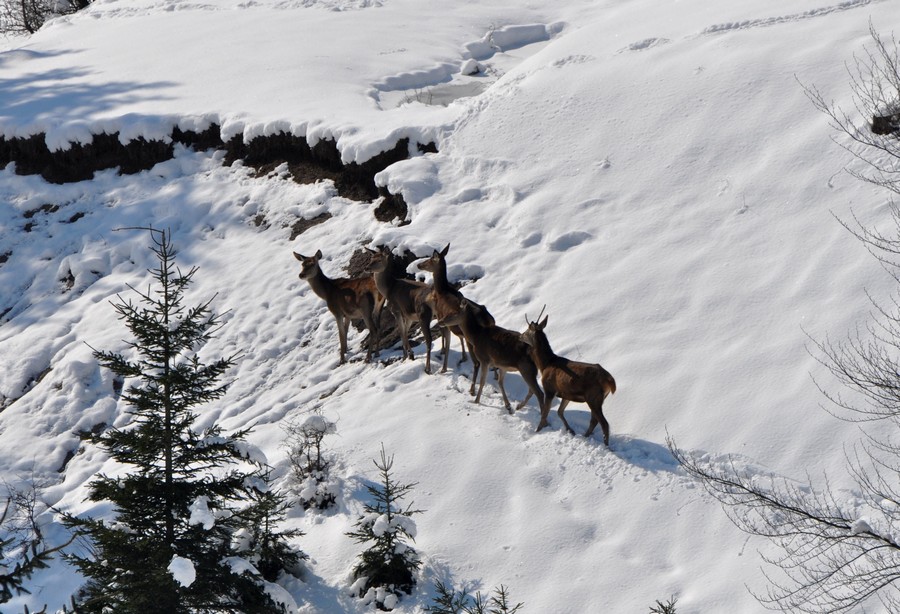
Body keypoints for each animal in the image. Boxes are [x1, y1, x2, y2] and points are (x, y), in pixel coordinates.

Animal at [516, 312, 616, 448]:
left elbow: (545, 411)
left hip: (593, 397)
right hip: (598, 398)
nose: (520, 336)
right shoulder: (565, 393)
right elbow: (559, 411)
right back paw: (585, 436)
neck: (545, 364)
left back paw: (605, 446)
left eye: (527, 330)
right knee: (594, 420)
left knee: (604, 423)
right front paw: (570, 430)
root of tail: (610, 380)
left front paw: (538, 430)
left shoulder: (549, 389)